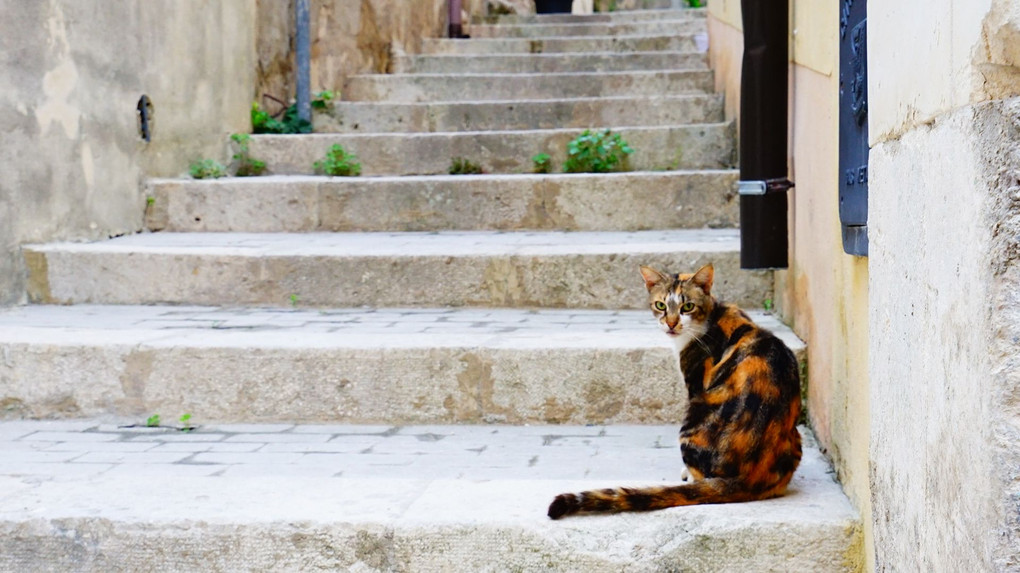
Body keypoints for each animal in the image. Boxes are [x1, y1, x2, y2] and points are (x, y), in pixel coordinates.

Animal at [546, 263, 799, 517]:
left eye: (687, 306)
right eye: (661, 305)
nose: (671, 323)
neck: (710, 316)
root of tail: (749, 477)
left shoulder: (695, 383)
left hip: (695, 414)